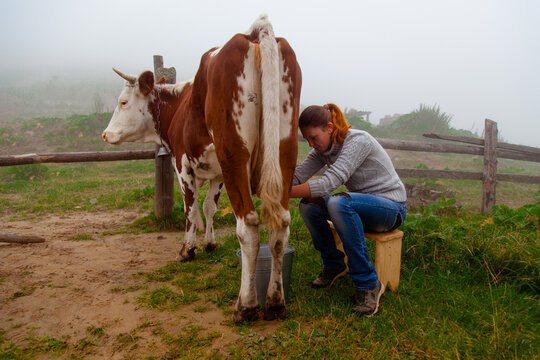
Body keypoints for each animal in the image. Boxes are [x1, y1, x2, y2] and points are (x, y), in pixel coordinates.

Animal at [103, 15, 302, 322]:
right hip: (284, 151)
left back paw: (246, 305)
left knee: (248, 226)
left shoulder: (182, 163)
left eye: (123, 102)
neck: (180, 105)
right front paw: (209, 243)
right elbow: (209, 207)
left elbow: (190, 208)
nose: (105, 134)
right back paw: (275, 302)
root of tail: (254, 33)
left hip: (234, 153)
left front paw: (188, 249)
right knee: (280, 225)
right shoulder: (216, 172)